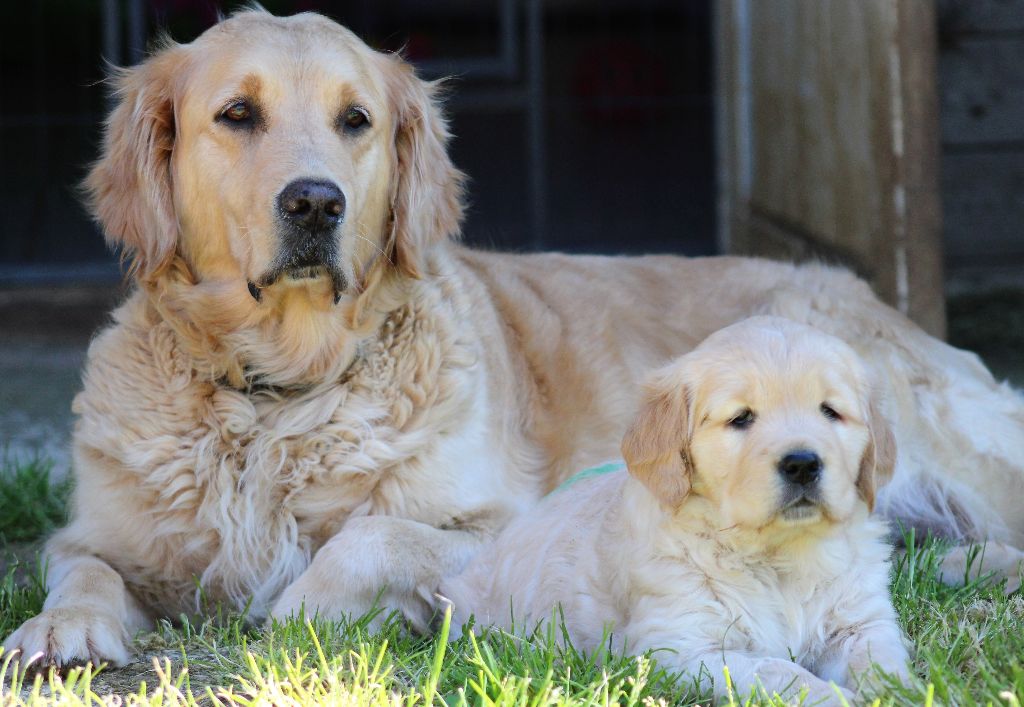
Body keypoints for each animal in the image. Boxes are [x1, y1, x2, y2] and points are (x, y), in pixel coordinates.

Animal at [440, 317, 913, 700]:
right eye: (741, 418)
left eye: (831, 412)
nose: (802, 464)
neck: (779, 557)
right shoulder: (681, 648)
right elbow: (777, 670)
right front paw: (831, 696)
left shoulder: (863, 621)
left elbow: (882, 662)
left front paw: (898, 693)